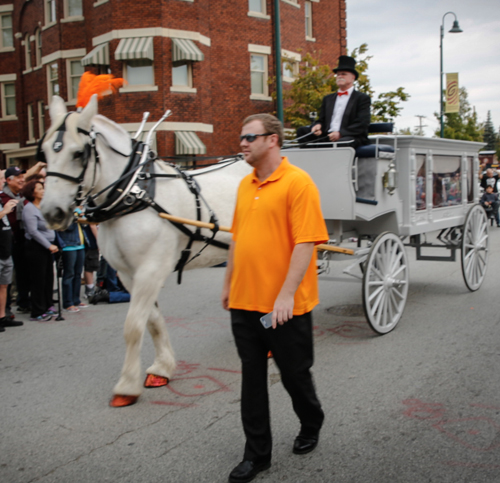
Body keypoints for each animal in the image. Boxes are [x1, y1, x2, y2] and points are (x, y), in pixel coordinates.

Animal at [39, 96, 252, 406]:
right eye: (43, 152)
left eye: (79, 153)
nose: (51, 213)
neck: (133, 195)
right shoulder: (129, 274)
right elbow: (152, 321)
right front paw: (162, 368)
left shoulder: (151, 269)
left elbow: (133, 326)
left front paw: (127, 386)